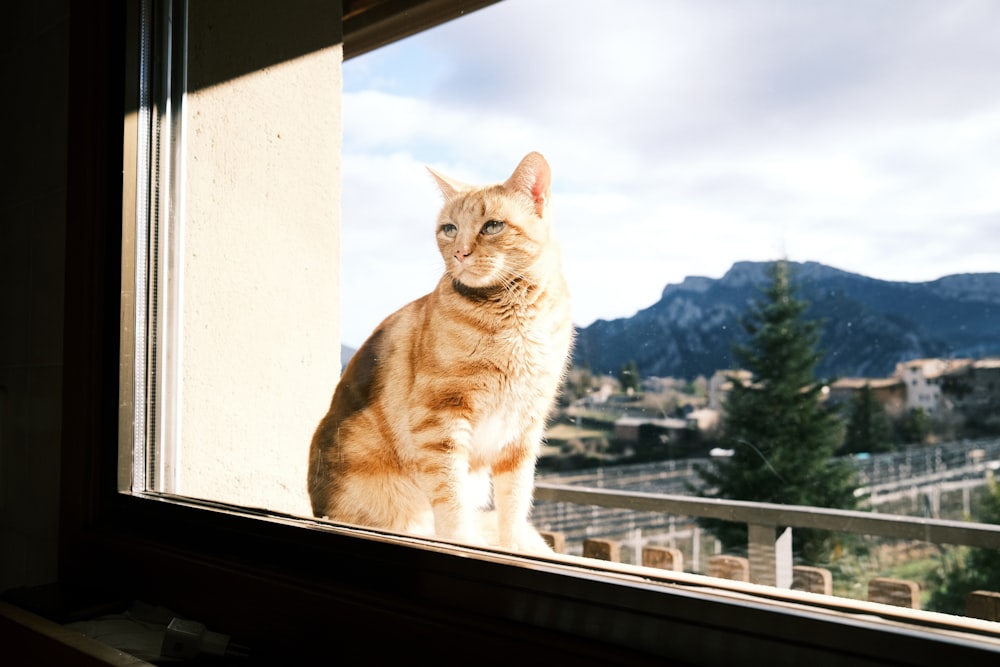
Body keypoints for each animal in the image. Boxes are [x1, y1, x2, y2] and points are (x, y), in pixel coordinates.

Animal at [304, 151, 576, 552]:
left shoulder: (523, 429)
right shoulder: (440, 420)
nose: (461, 252)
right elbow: (452, 501)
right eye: (449, 228)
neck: (514, 317)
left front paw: (512, 548)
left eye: (493, 226)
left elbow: (515, 503)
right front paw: (462, 542)